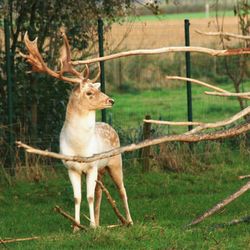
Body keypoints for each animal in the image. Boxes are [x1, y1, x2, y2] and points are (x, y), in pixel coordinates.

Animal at [21, 32, 133, 229]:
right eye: (89, 93)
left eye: (96, 89)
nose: (111, 100)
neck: (79, 147)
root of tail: (109, 126)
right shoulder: (71, 168)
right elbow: (77, 197)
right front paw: (76, 226)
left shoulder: (92, 165)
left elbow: (88, 196)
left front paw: (91, 226)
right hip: (102, 169)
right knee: (100, 192)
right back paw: (99, 221)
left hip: (115, 161)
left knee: (122, 190)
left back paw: (129, 221)